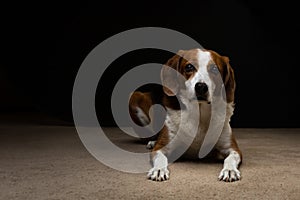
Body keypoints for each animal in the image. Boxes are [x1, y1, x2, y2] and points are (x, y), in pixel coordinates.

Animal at [128, 48, 241, 181]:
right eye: (189, 67)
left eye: (214, 69)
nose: (201, 86)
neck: (199, 114)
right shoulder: (162, 147)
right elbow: (161, 158)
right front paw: (159, 169)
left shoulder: (232, 148)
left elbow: (231, 158)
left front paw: (229, 170)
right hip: (135, 96)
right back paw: (152, 142)